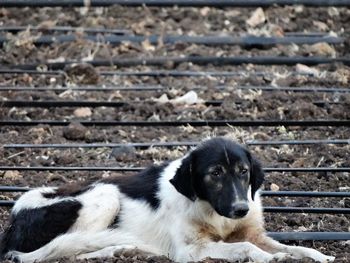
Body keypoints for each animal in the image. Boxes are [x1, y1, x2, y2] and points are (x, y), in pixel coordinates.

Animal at [0, 138, 334, 263]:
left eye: (243, 172)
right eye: (214, 173)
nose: (241, 208)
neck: (216, 214)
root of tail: (13, 218)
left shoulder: (251, 231)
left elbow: (295, 246)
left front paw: (317, 256)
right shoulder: (191, 250)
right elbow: (247, 248)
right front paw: (271, 258)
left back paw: (124, 250)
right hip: (105, 194)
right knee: (58, 250)